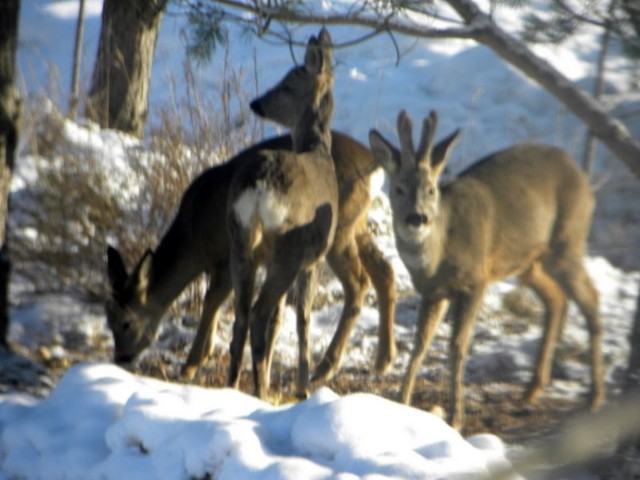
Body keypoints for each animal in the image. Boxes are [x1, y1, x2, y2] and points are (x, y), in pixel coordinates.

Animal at [107, 27, 396, 394]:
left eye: (125, 322)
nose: (121, 358)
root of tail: (375, 166)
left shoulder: (226, 256)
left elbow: (235, 307)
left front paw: (198, 364)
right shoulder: (306, 258)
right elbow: (298, 319)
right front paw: (293, 385)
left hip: (256, 240)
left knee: (252, 313)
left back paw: (245, 383)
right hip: (304, 243)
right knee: (275, 307)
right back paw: (295, 379)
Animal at [368, 110, 604, 430]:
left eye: (430, 190)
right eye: (398, 188)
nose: (417, 218)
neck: (439, 255)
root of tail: (580, 173)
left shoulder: (475, 281)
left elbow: (458, 344)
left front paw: (455, 418)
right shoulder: (433, 292)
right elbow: (420, 344)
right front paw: (401, 402)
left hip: (566, 242)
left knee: (590, 297)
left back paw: (595, 397)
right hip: (529, 261)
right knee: (556, 299)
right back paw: (532, 389)